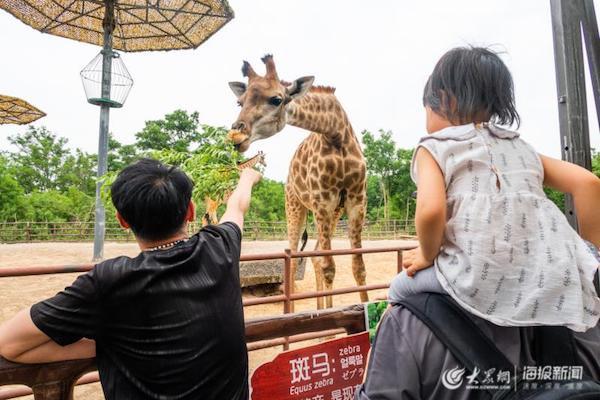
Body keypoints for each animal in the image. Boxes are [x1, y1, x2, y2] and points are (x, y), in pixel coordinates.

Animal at [230, 54, 368, 310]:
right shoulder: (322, 201)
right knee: (293, 258)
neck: (336, 135)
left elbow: (358, 267)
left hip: (334, 212)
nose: (237, 136)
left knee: (314, 255)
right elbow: (329, 267)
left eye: (276, 99)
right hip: (295, 206)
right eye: (239, 102)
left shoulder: (356, 201)